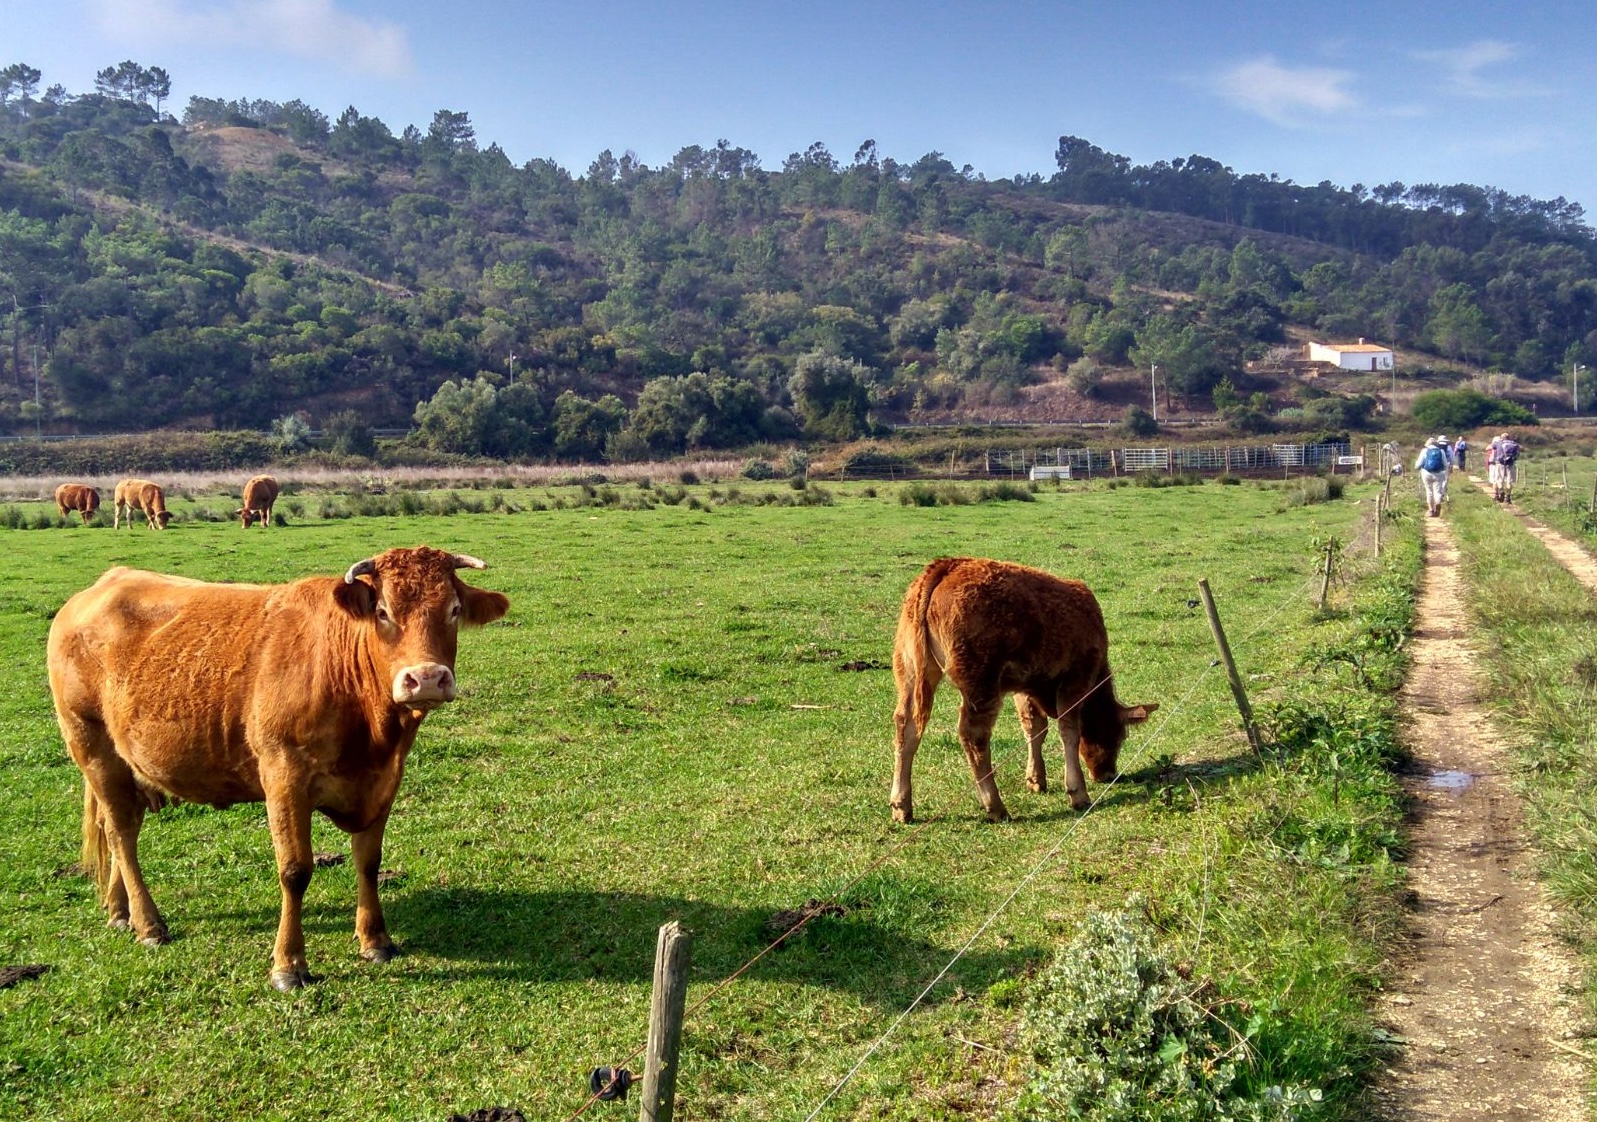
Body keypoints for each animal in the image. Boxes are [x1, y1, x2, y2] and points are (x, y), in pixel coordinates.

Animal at [47, 545, 511, 991]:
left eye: (454, 609)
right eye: (383, 612)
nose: (427, 678)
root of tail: (106, 582)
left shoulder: (383, 782)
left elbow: (369, 861)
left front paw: (375, 940)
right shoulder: (284, 778)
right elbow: (295, 871)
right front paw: (289, 964)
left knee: (117, 827)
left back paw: (119, 909)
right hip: (91, 745)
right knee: (121, 834)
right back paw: (148, 924)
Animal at [890, 557, 1157, 824]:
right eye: (1120, 736)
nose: (1108, 774)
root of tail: (948, 565)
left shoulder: (1024, 685)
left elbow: (1034, 727)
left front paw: (1036, 779)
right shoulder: (1075, 678)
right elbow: (1069, 731)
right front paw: (1077, 792)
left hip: (909, 671)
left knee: (907, 726)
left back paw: (901, 807)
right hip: (981, 684)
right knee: (974, 737)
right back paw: (995, 806)